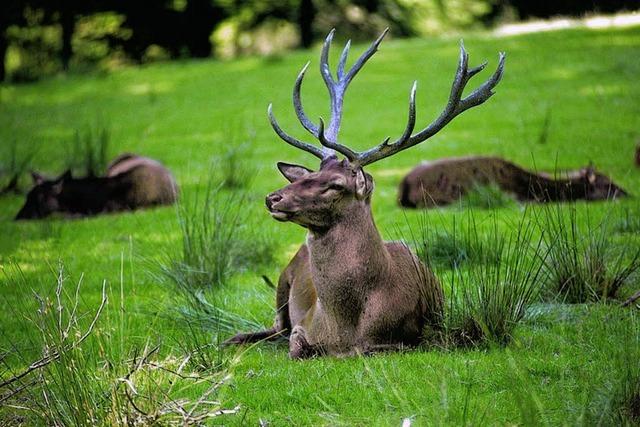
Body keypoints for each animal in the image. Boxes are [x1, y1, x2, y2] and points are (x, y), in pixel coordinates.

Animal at [225, 28, 504, 360]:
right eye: (312, 174)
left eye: (335, 185)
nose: (273, 198)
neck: (346, 329)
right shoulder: (303, 324)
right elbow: (296, 347)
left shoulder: (412, 337)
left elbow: (372, 349)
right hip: (283, 280)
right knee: (274, 326)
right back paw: (234, 338)